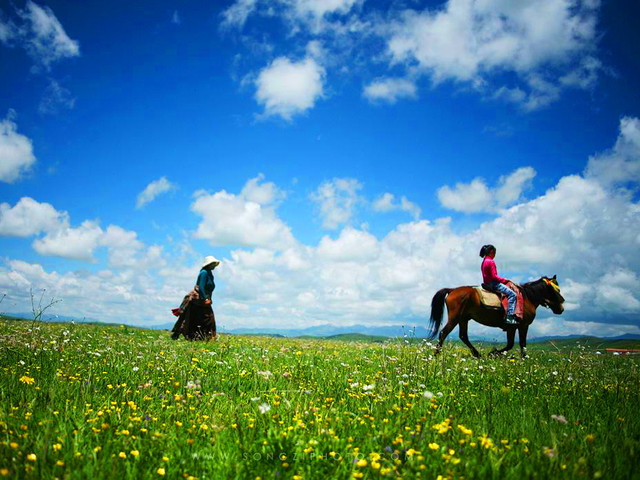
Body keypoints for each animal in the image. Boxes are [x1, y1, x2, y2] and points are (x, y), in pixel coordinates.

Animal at [430, 276, 564, 358]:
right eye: (556, 290)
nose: (562, 308)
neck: (528, 298)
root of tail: (452, 290)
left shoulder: (511, 327)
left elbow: (511, 344)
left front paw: (493, 353)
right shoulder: (523, 326)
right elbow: (521, 344)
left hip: (463, 319)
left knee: (463, 336)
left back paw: (477, 355)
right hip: (455, 318)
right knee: (443, 333)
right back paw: (436, 354)